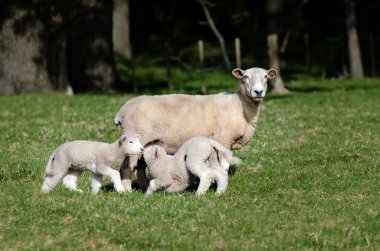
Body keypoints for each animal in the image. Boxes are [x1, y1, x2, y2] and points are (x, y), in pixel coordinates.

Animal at [114, 66, 278, 190]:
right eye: (245, 77)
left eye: (265, 77)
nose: (258, 92)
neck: (240, 106)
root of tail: (121, 111)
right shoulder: (223, 139)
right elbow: (223, 166)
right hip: (134, 138)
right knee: (127, 166)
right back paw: (127, 190)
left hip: (146, 143)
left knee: (140, 167)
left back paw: (144, 186)